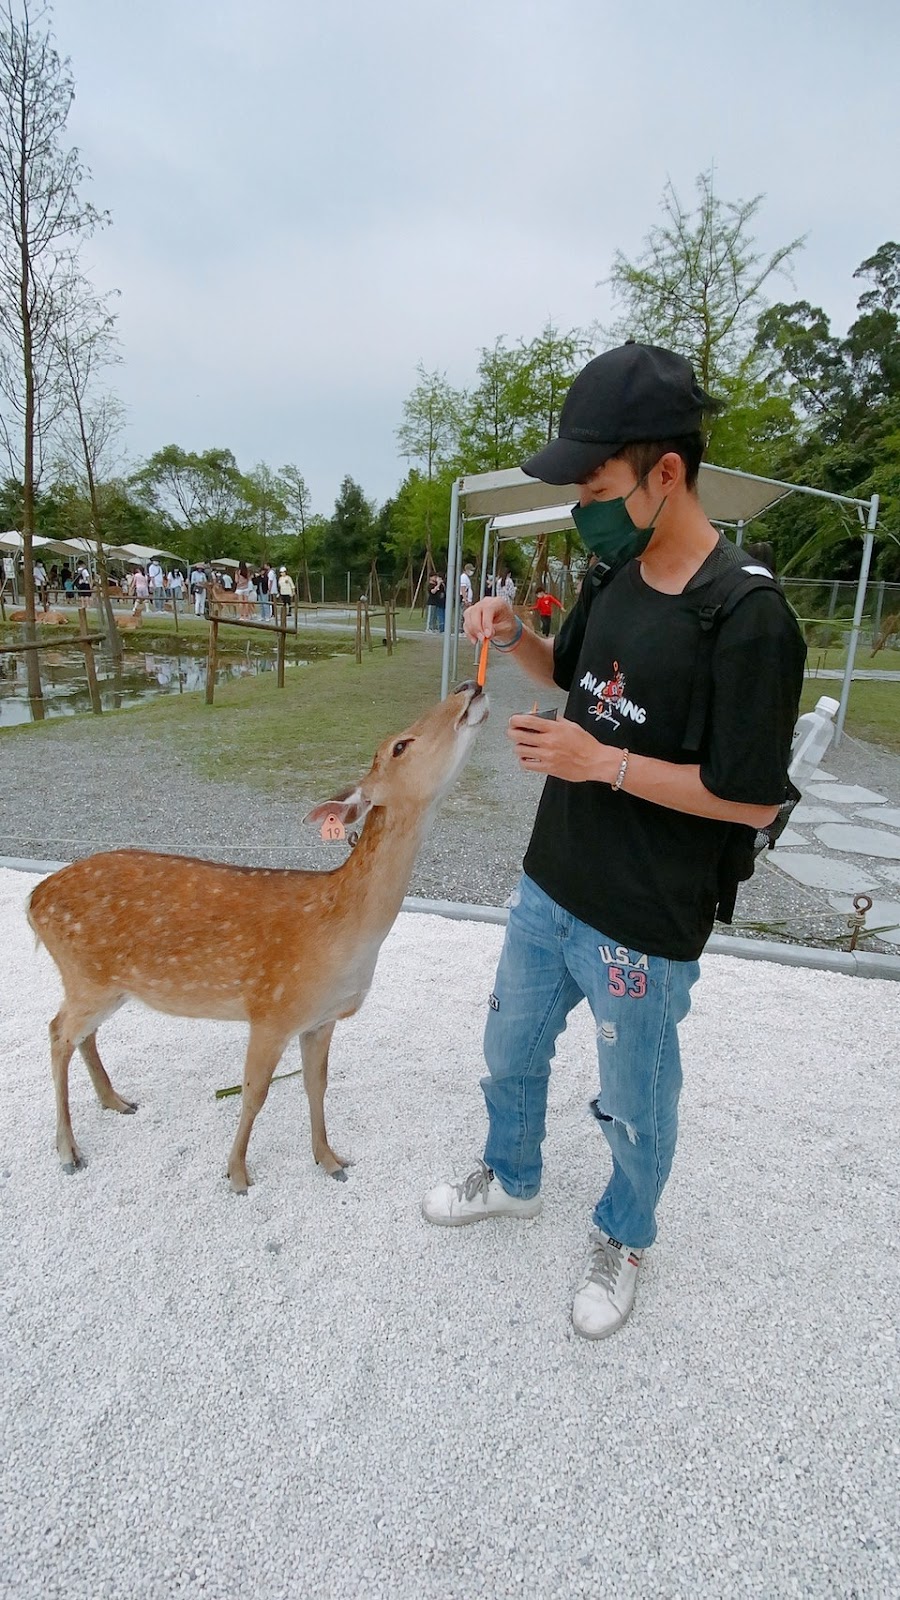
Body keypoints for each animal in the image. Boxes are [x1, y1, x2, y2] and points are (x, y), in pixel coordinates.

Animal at [28, 681, 486, 1196]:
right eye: (399, 746)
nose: (469, 686)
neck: (342, 934)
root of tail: (34, 899)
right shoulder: (270, 1010)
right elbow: (254, 1092)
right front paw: (237, 1174)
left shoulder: (321, 1019)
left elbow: (316, 1084)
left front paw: (330, 1159)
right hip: (85, 975)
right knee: (56, 1032)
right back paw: (69, 1151)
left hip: (107, 985)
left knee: (81, 1034)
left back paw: (116, 1100)